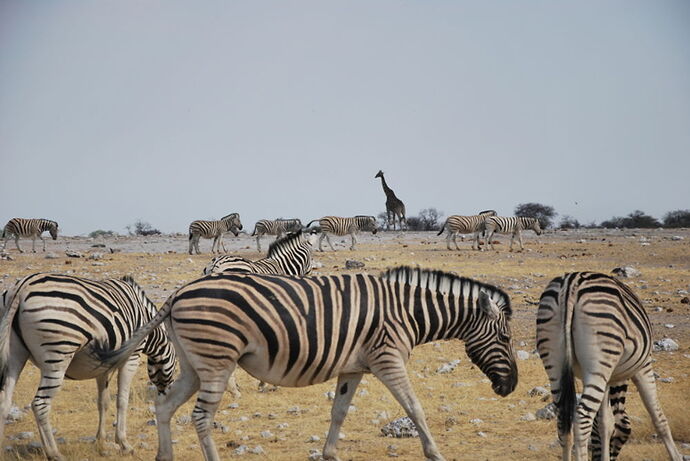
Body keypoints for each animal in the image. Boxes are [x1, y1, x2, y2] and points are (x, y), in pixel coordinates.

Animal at [0, 272, 176, 458]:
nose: (166, 394)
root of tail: (22, 287)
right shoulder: (132, 357)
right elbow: (122, 400)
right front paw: (123, 443)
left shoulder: (102, 366)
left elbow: (103, 402)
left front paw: (101, 441)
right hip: (57, 356)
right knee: (40, 404)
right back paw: (54, 453)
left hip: (15, 355)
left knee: (4, 401)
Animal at [95, 266, 516, 460]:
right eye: (507, 339)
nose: (509, 387)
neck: (406, 312)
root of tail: (179, 292)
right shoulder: (388, 357)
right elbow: (415, 407)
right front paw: (436, 452)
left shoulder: (353, 367)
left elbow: (339, 412)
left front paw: (330, 453)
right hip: (216, 361)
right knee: (200, 417)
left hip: (194, 363)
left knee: (164, 405)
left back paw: (164, 455)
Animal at [536, 272, 680, 458]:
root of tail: (571, 283)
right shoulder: (643, 366)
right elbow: (658, 417)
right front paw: (676, 456)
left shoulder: (604, 378)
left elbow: (605, 424)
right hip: (599, 360)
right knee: (582, 419)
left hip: (556, 362)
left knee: (563, 420)